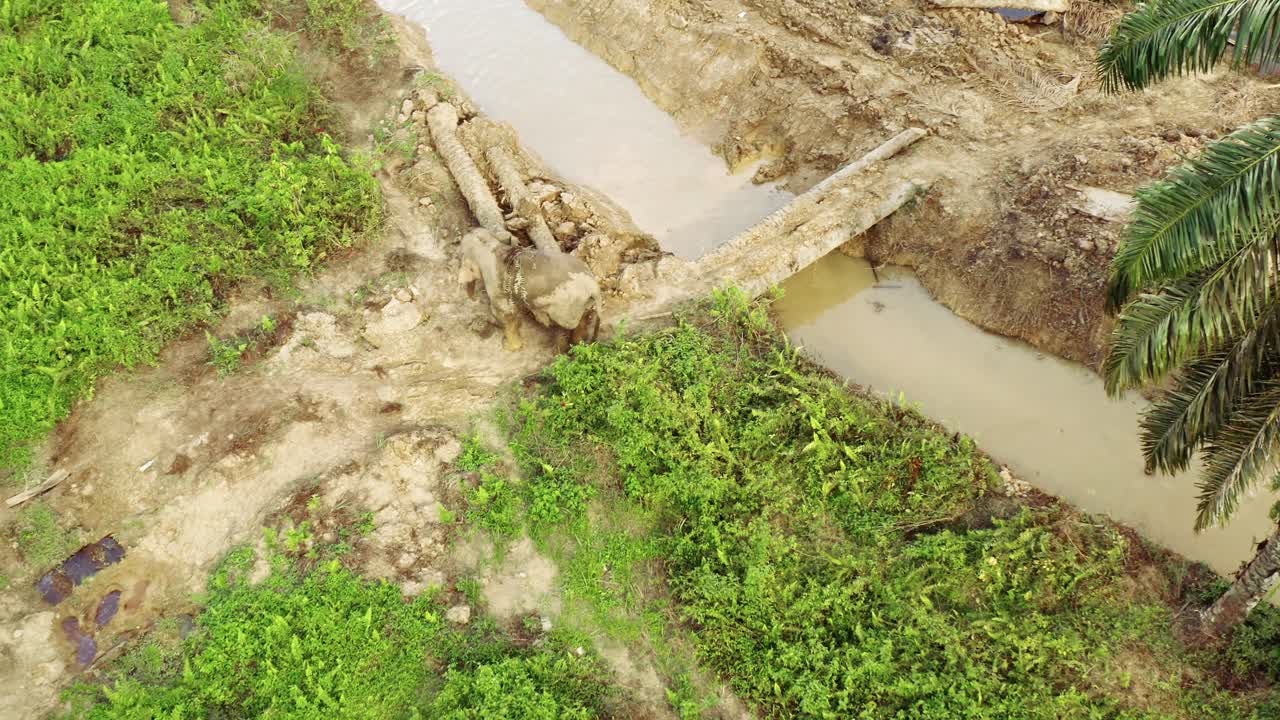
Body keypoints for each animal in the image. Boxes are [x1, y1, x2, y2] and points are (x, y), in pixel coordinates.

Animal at [458, 228, 602, 351]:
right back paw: (577, 345)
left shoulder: (496, 286)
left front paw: (510, 348)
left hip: (566, 308)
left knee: (563, 327)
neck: (491, 245)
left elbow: (506, 314)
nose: (474, 298)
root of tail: (593, 286)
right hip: (582, 304)